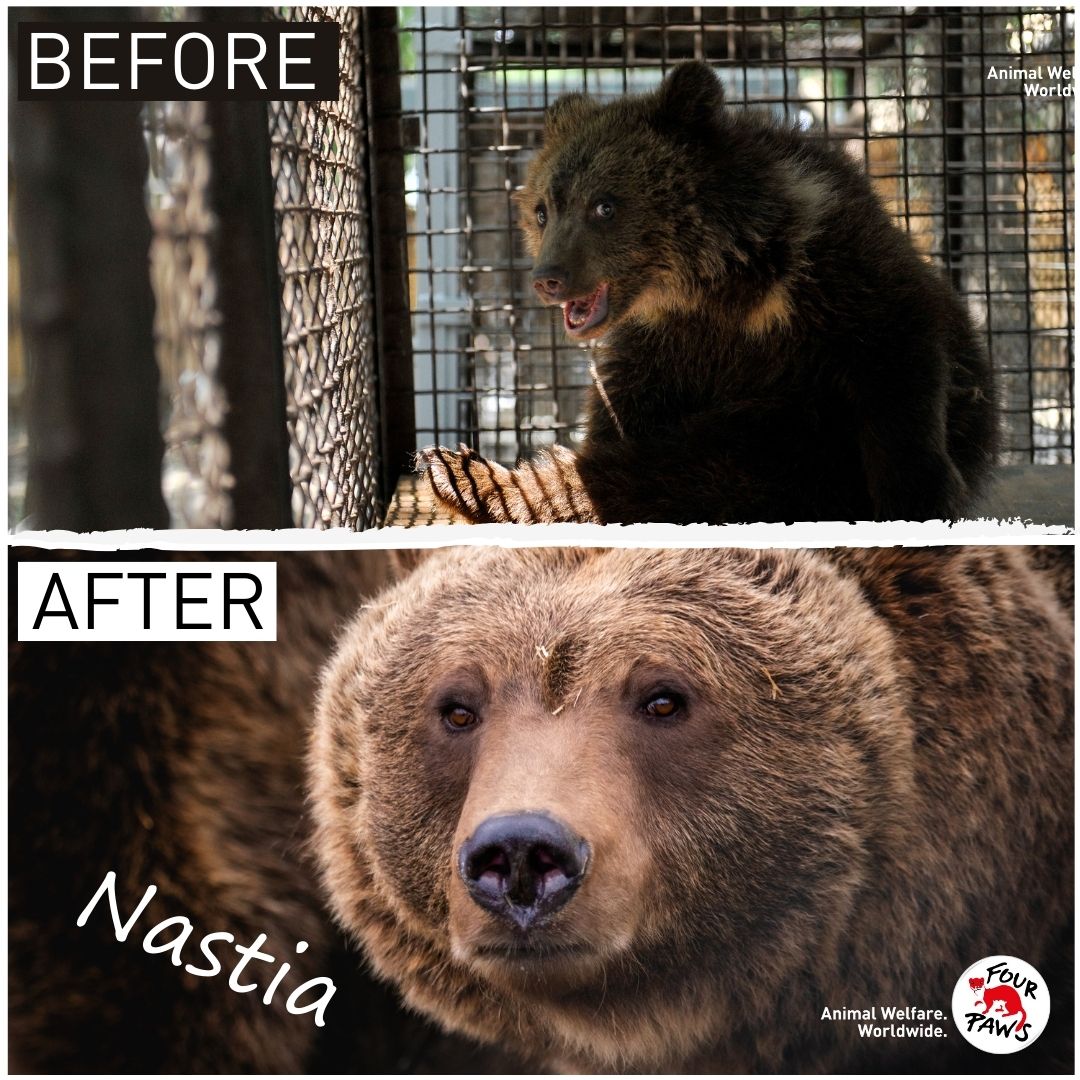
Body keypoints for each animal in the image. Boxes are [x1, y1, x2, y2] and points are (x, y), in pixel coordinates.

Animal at [419, 61, 998, 525]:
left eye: (604, 205)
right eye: (543, 210)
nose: (548, 277)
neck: (718, 286)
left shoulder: (839, 280)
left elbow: (897, 360)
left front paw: (919, 497)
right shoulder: (660, 349)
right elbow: (619, 422)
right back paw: (454, 469)